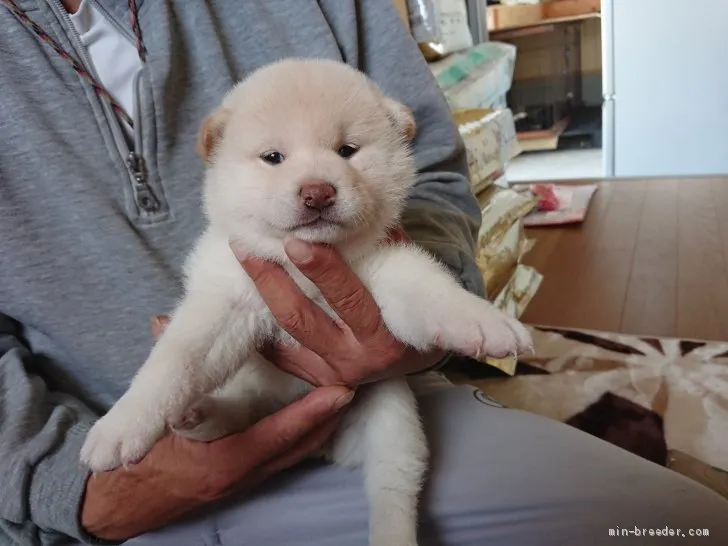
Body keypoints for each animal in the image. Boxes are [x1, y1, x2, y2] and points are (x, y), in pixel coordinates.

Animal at [81, 57, 528, 540]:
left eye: (347, 150)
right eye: (273, 158)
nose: (318, 192)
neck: (300, 267)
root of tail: (322, 448)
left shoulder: (386, 275)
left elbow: (433, 294)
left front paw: (486, 323)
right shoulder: (225, 302)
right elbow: (173, 362)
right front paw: (121, 426)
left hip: (394, 419)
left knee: (393, 488)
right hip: (251, 387)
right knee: (238, 416)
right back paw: (199, 416)